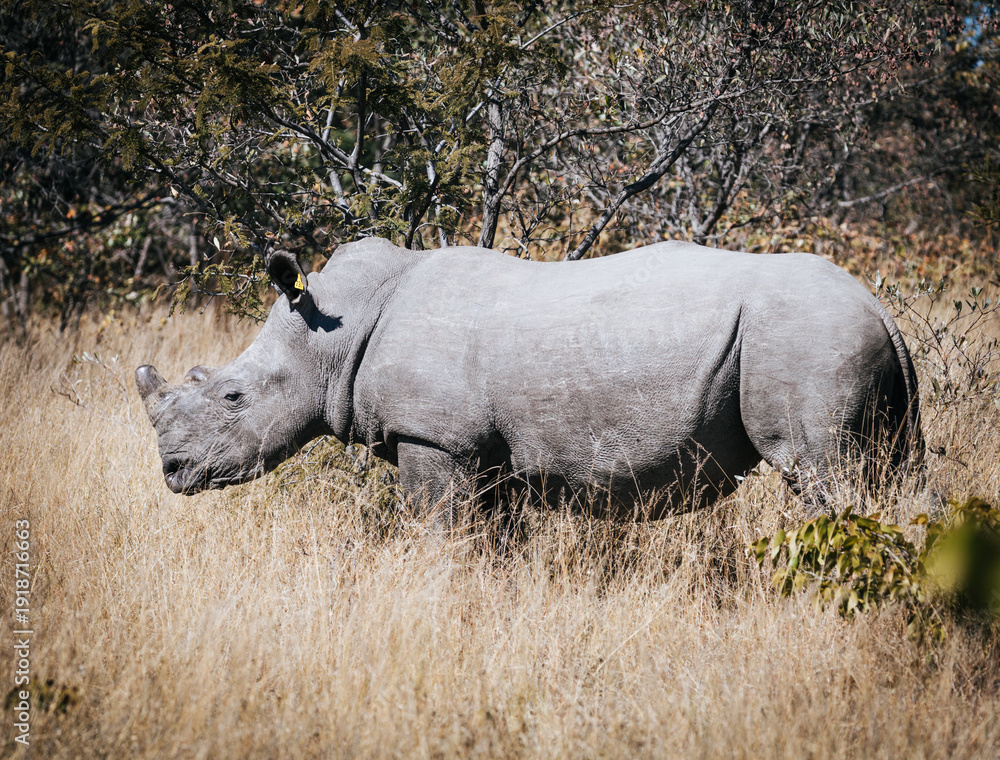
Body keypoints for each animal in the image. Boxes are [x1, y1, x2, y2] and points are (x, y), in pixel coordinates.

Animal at [136, 237, 922, 521]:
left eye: (233, 396)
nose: (172, 473)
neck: (334, 329)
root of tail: (879, 307)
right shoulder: (485, 453)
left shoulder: (435, 439)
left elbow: (438, 532)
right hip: (844, 344)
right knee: (888, 473)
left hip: (805, 338)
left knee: (823, 473)